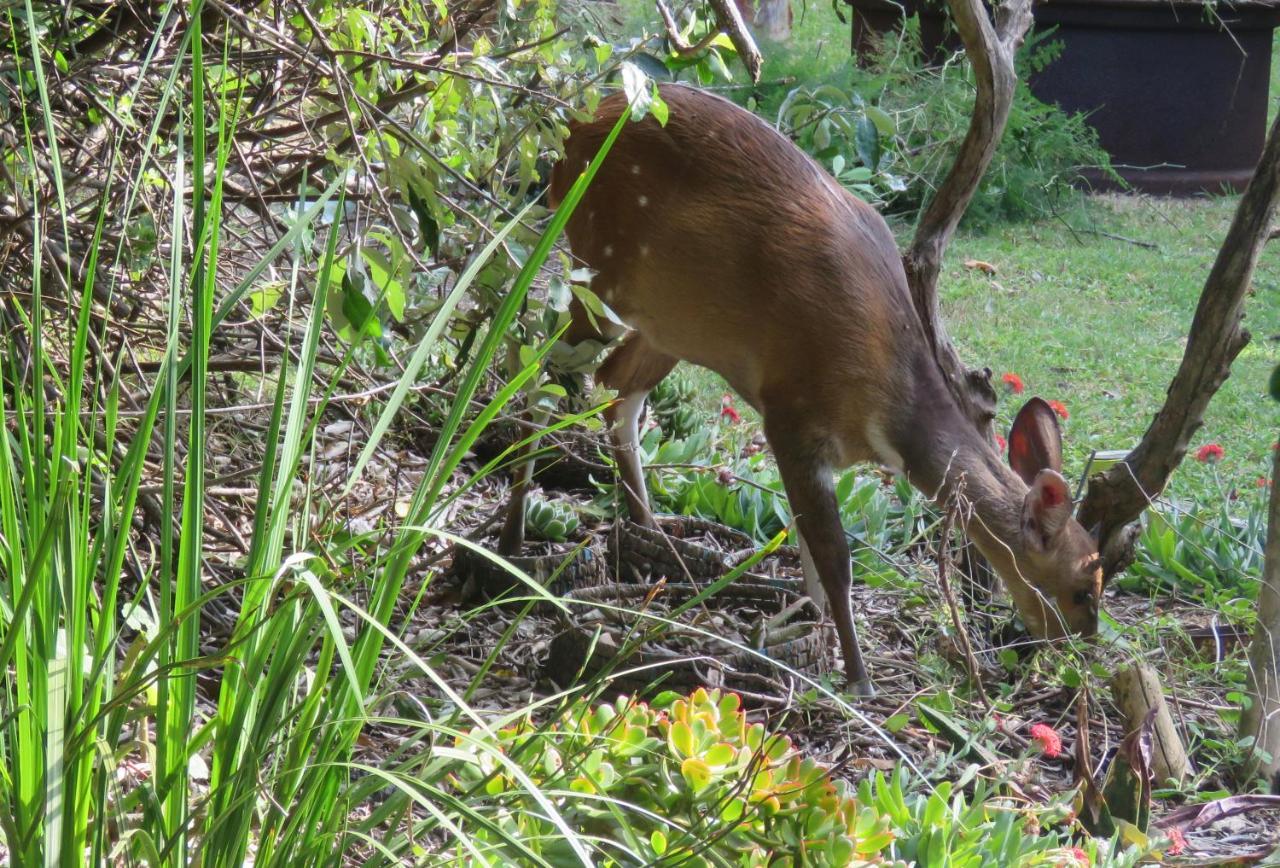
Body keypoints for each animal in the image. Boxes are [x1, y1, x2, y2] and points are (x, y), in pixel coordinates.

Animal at [509, 86, 1100, 701]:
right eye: (1084, 585)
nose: (1081, 641)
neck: (883, 409)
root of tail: (571, 129)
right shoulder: (792, 415)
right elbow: (836, 557)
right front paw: (860, 680)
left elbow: (811, 548)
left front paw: (813, 633)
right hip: (599, 271)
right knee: (533, 359)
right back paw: (512, 537)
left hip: (668, 323)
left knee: (613, 387)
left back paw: (647, 531)